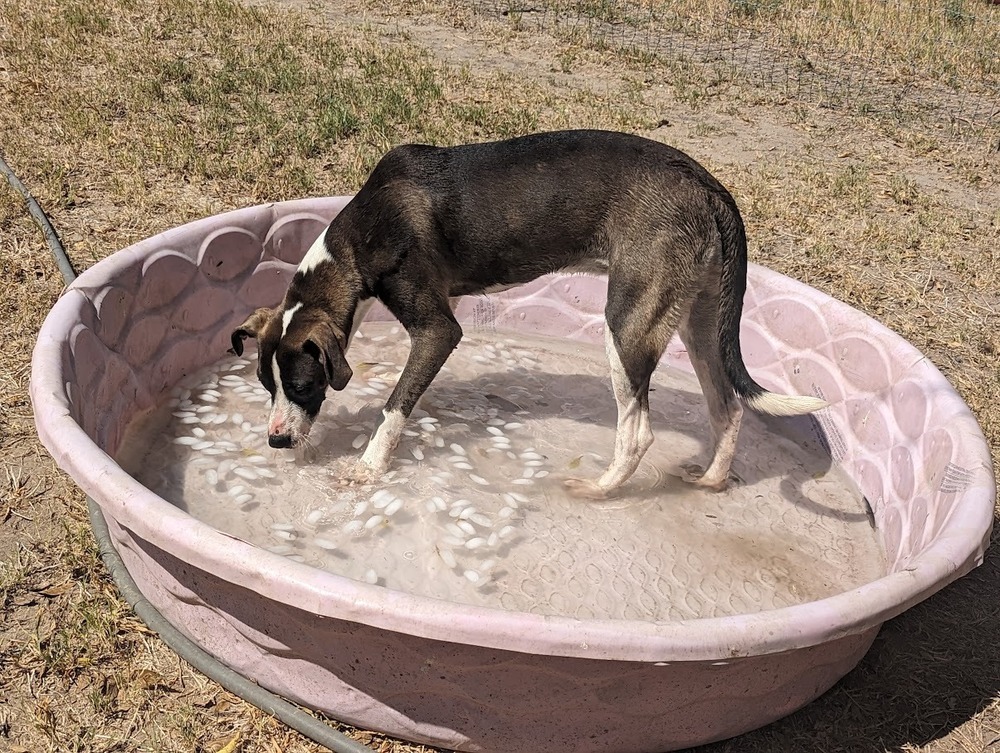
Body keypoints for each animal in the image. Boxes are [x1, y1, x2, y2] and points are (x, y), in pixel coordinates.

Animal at [230, 127, 824, 496]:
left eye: (303, 385)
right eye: (266, 385)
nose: (276, 440)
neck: (355, 244)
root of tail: (709, 184)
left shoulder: (439, 328)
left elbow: (395, 406)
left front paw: (368, 468)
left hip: (629, 325)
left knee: (638, 433)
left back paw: (599, 490)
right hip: (698, 320)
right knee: (729, 407)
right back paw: (710, 481)